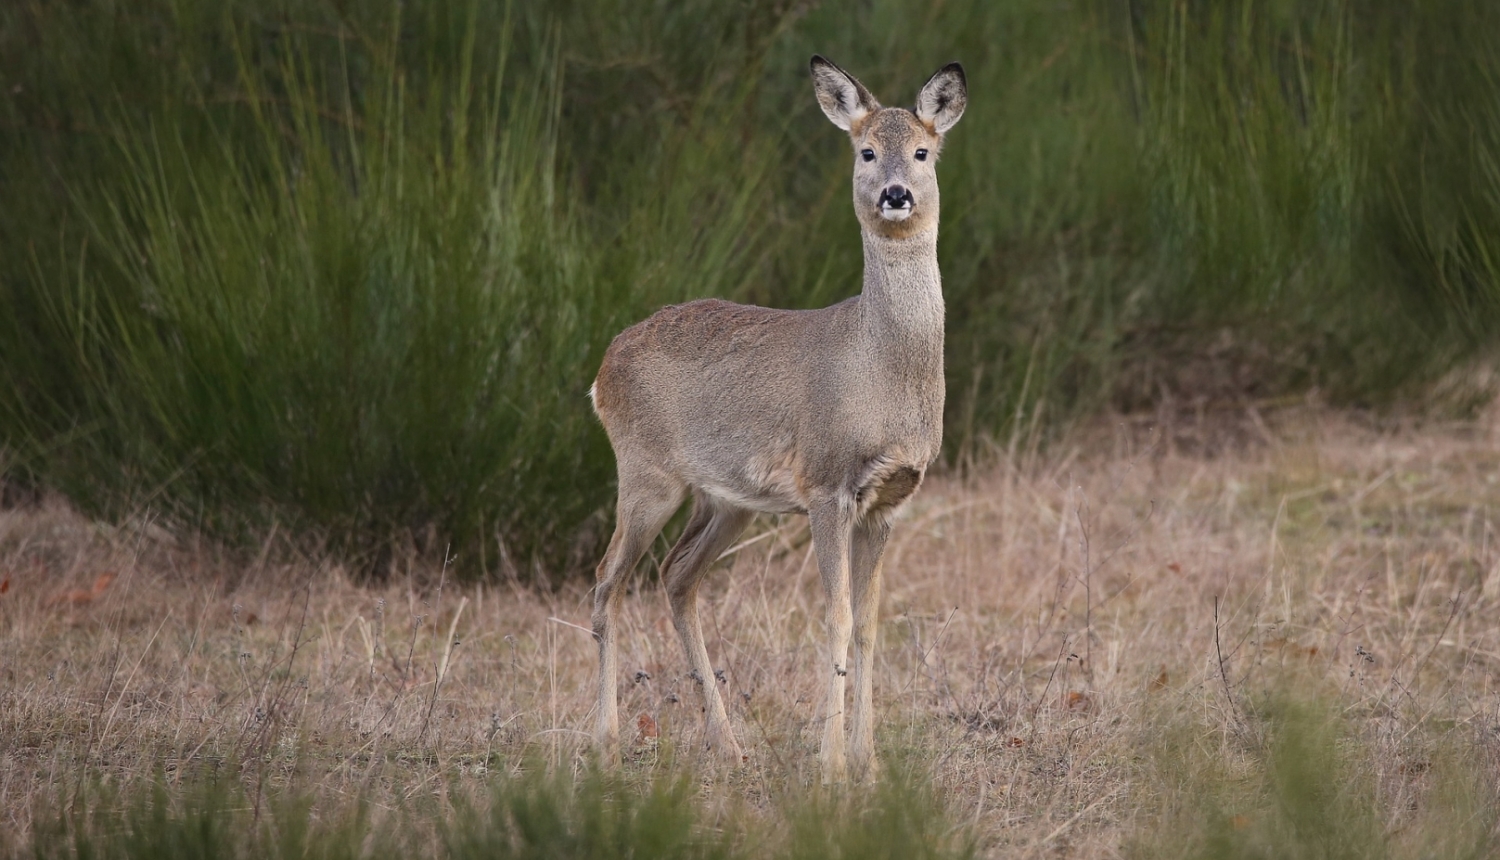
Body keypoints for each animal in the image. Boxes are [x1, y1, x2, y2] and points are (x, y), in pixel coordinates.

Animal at [585, 52, 960, 780]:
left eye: (923, 152)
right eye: (865, 151)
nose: (895, 194)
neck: (879, 370)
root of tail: (601, 370)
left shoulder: (890, 500)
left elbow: (870, 623)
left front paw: (870, 763)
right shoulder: (827, 484)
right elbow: (836, 617)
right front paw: (832, 765)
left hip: (726, 500)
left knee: (676, 576)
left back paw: (727, 745)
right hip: (645, 475)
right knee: (606, 580)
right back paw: (608, 743)